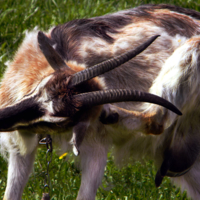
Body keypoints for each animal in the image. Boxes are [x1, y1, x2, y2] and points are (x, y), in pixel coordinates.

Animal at [0, 3, 200, 200]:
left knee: (156, 120)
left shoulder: (95, 150)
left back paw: (111, 113)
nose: (4, 118)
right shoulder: (19, 148)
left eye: (60, 121)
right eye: (41, 86)